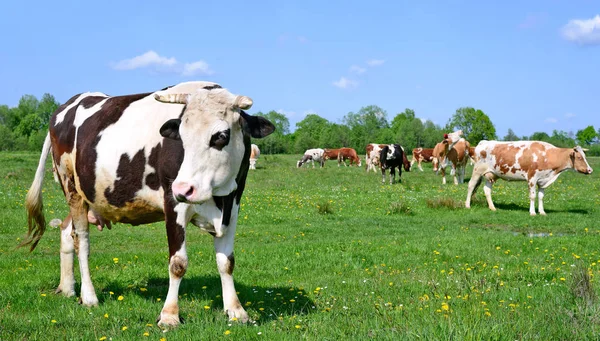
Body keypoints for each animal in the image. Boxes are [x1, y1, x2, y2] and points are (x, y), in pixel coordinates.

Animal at [22, 81, 276, 328]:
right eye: (181, 137)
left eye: (221, 136)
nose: (184, 189)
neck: (218, 197)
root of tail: (67, 105)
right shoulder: (174, 204)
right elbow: (178, 263)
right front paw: (169, 316)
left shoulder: (233, 207)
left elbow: (227, 262)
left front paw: (236, 311)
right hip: (72, 188)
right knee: (81, 240)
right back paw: (89, 296)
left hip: (87, 197)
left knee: (67, 230)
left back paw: (67, 288)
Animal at [464, 139, 592, 214]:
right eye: (579, 157)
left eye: (585, 156)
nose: (590, 170)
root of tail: (483, 142)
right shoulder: (532, 178)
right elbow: (532, 196)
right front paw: (532, 212)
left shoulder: (543, 180)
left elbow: (541, 197)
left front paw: (542, 212)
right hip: (477, 170)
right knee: (471, 185)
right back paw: (467, 205)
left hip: (492, 174)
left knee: (487, 190)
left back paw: (492, 207)